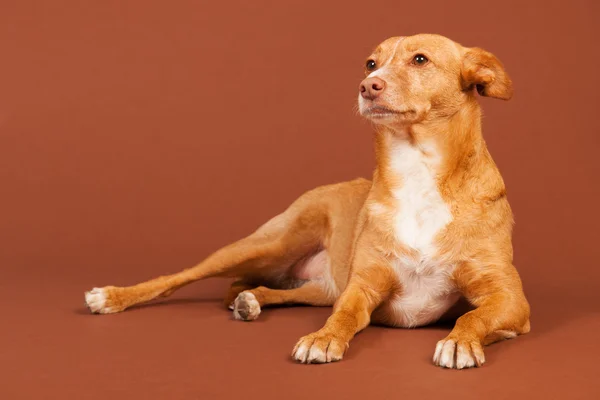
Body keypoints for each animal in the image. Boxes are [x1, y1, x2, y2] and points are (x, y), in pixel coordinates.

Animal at [85, 33, 528, 368]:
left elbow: (472, 314)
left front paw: (460, 341)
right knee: (176, 278)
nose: (368, 86)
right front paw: (322, 337)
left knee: (271, 289)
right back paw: (112, 297)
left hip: (320, 284)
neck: (418, 173)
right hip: (264, 245)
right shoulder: (362, 286)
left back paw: (251, 301)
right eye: (370, 63)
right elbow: (345, 316)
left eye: (420, 59)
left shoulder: (509, 300)